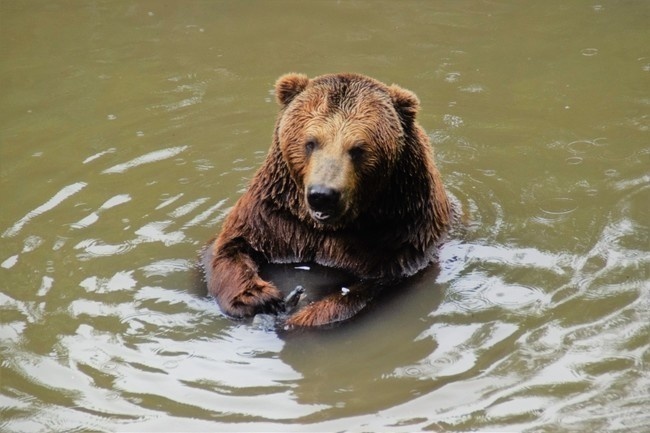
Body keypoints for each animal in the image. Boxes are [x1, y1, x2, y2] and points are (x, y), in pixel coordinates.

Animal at [201, 71, 450, 328]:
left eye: (358, 149)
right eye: (311, 142)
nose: (323, 195)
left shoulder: (398, 236)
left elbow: (367, 290)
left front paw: (300, 315)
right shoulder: (275, 218)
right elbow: (230, 247)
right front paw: (259, 297)